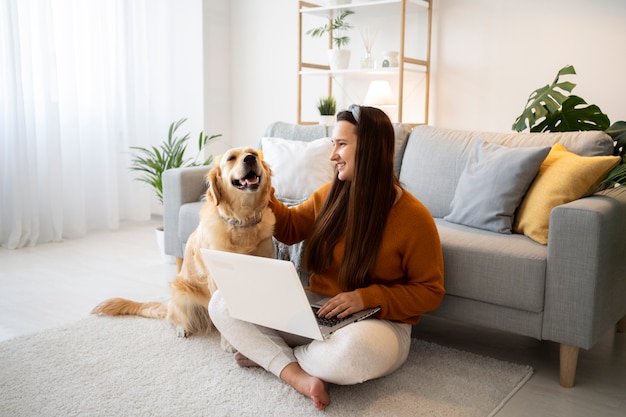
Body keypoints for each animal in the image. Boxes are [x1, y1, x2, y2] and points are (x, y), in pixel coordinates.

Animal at [92, 146, 276, 348]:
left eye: (255, 153)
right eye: (231, 158)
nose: (250, 158)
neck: (243, 221)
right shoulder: (216, 278)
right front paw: (229, 343)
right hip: (183, 294)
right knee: (175, 318)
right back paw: (182, 328)